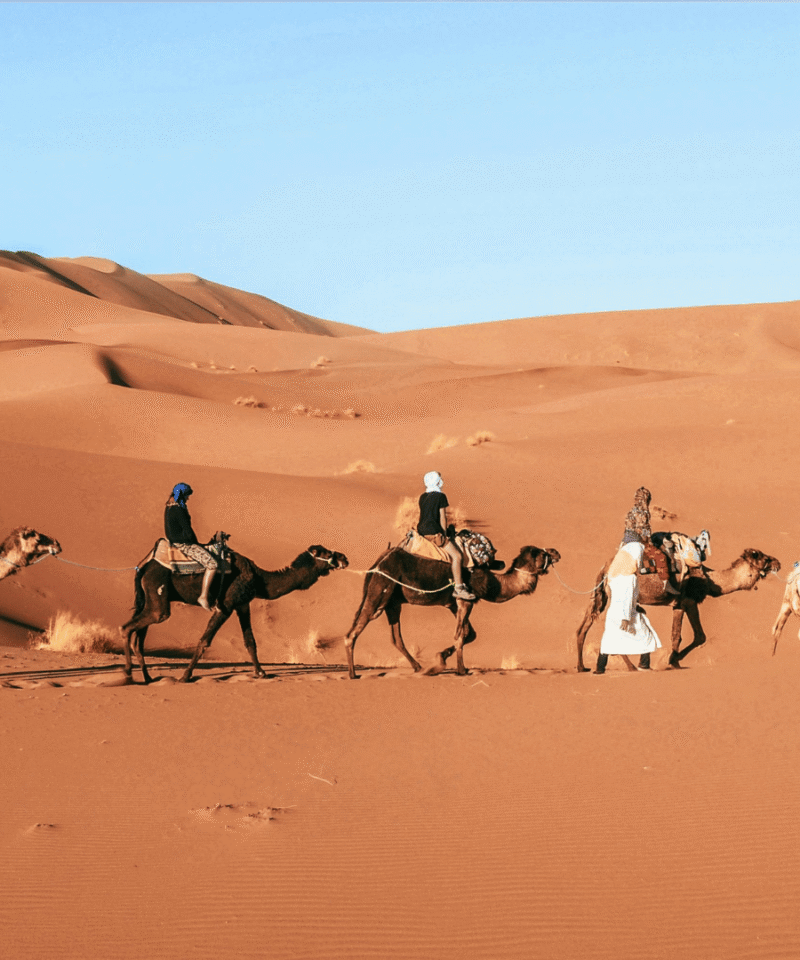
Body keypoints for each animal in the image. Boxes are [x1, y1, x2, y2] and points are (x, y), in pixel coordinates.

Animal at [122, 543, 349, 684]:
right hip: (158, 597)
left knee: (139, 634)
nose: (344, 557)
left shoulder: (243, 605)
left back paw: (147, 678)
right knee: (128, 627)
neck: (259, 579)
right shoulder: (226, 605)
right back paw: (128, 674)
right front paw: (185, 676)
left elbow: (250, 641)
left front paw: (261, 673)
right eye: (326, 553)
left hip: (150, 599)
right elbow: (204, 640)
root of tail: (143, 567)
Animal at [344, 545, 561, 679]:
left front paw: (440, 659)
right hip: (380, 591)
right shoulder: (465, 600)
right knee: (352, 632)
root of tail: (377, 564)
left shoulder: (454, 604)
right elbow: (460, 635)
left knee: (396, 637)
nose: (556, 552)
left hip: (393, 602)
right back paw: (353, 674)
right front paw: (460, 670)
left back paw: (419, 667)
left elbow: (469, 633)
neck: (494, 583)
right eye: (541, 553)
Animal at [575, 547, 781, 672]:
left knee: (584, 626)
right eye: (764, 557)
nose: (778, 562)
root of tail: (605, 568)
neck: (709, 580)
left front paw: (674, 660)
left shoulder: (681, 604)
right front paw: (673, 661)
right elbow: (690, 636)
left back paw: (582, 667)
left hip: (604, 596)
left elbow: (686, 635)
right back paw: (631, 666)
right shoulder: (686, 601)